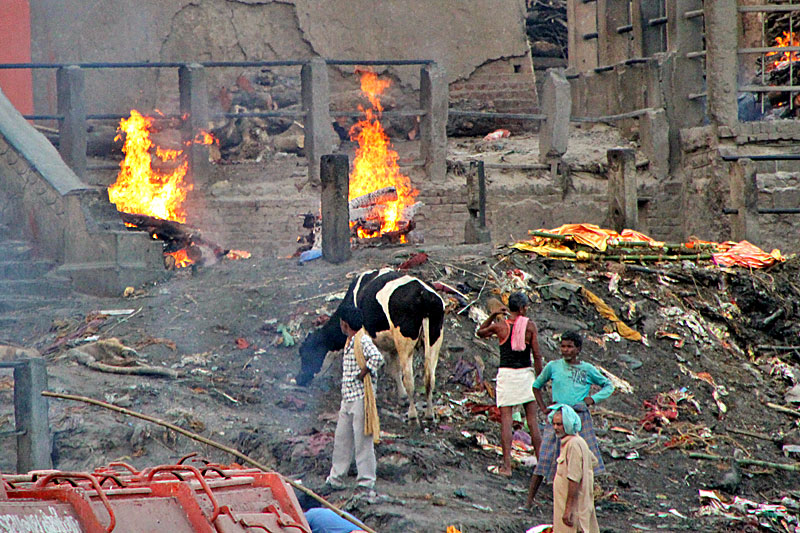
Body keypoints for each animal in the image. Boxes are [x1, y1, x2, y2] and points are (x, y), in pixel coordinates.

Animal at [296, 268, 444, 418]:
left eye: (305, 355)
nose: (299, 379)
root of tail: (424, 295)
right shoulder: (392, 346)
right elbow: (394, 370)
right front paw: (401, 397)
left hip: (405, 344)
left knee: (409, 379)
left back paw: (413, 413)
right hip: (435, 339)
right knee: (430, 378)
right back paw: (429, 413)